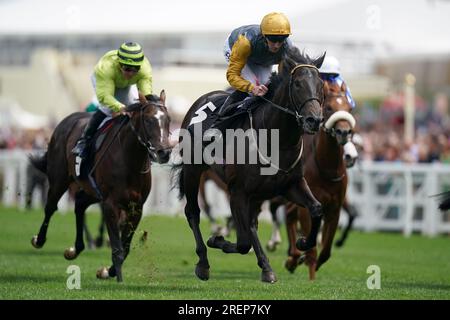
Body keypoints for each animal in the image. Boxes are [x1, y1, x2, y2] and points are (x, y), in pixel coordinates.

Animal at [29, 91, 171, 282]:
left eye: (168, 119)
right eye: (148, 120)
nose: (164, 153)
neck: (129, 160)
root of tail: (66, 121)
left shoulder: (136, 207)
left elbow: (125, 246)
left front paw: (107, 271)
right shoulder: (110, 204)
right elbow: (118, 248)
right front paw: (118, 279)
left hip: (92, 191)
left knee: (79, 204)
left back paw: (76, 249)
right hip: (59, 179)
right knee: (50, 207)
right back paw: (39, 240)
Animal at [171, 48, 324, 282]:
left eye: (321, 84)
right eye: (298, 84)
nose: (314, 120)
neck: (277, 139)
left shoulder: (291, 185)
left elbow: (316, 208)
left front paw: (303, 242)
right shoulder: (237, 191)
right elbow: (243, 242)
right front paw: (217, 240)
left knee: (251, 223)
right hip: (193, 171)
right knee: (193, 212)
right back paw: (203, 263)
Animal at [284, 81, 356, 278]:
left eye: (349, 108)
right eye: (329, 107)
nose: (343, 132)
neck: (327, 168)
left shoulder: (335, 208)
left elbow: (326, 251)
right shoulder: (308, 205)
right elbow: (312, 248)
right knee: (288, 214)